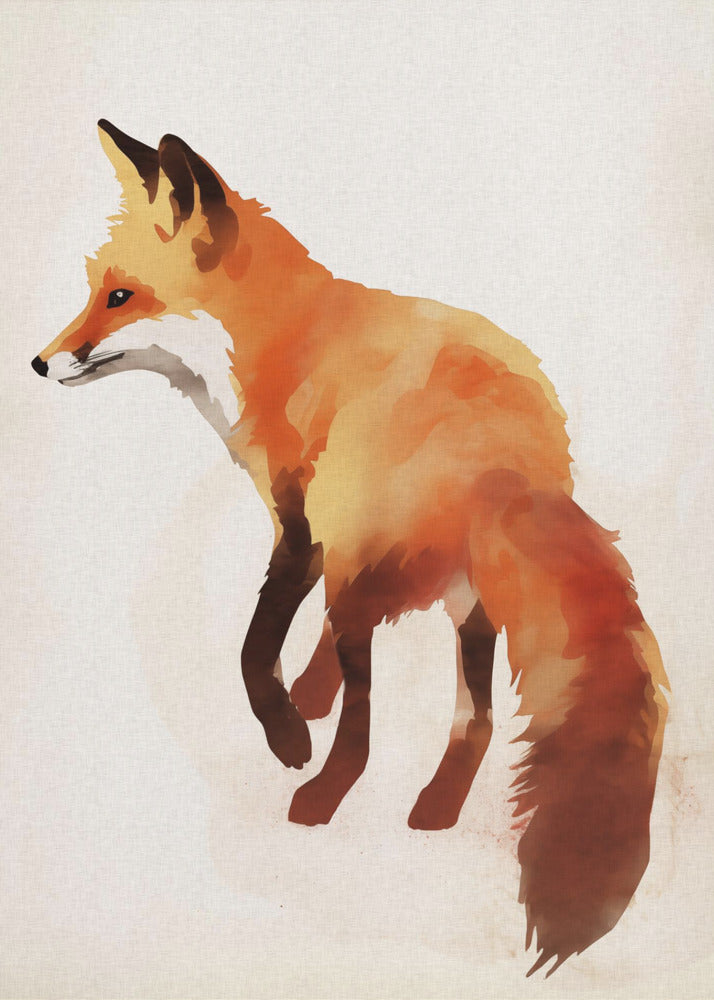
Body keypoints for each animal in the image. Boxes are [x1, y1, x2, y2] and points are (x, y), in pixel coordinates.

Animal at [32, 120, 668, 976]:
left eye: (122, 297)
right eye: (94, 289)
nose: (39, 361)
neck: (281, 340)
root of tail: (507, 460)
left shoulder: (300, 522)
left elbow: (255, 647)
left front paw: (290, 731)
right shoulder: (331, 545)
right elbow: (306, 647)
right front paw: (308, 695)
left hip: (381, 568)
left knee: (366, 732)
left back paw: (318, 796)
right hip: (467, 603)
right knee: (476, 720)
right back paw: (435, 806)